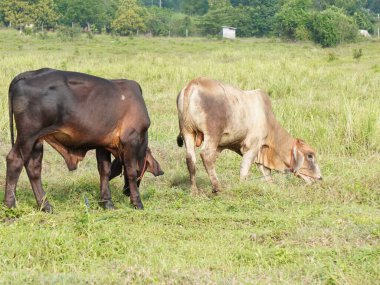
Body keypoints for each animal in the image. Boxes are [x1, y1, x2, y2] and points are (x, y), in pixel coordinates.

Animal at [4, 67, 162, 210]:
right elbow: (131, 171)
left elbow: (105, 171)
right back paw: (10, 205)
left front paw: (107, 202)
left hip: (37, 140)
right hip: (27, 136)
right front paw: (137, 203)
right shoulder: (131, 141)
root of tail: (28, 74)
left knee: (33, 168)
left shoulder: (103, 144)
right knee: (15, 161)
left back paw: (45, 206)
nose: (126, 192)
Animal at [177, 77, 322, 193]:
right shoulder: (253, 147)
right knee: (206, 155)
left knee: (190, 159)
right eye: (310, 155)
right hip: (212, 134)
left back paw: (194, 191)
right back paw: (217, 188)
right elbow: (244, 170)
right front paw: (242, 187)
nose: (320, 178)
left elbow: (266, 173)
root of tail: (192, 85)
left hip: (187, 132)